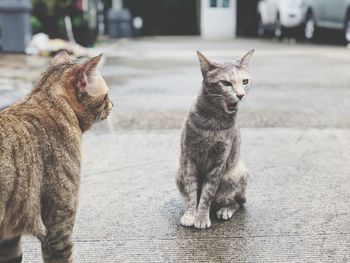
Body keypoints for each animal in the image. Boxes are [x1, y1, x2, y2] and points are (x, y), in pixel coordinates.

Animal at [176, 49, 253, 229]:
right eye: (226, 83)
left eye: (245, 81)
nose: (240, 95)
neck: (213, 122)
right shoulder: (189, 158)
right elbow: (192, 192)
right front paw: (190, 215)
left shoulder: (219, 162)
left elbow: (207, 195)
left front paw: (201, 218)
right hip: (179, 172)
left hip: (236, 173)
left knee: (237, 202)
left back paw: (225, 210)